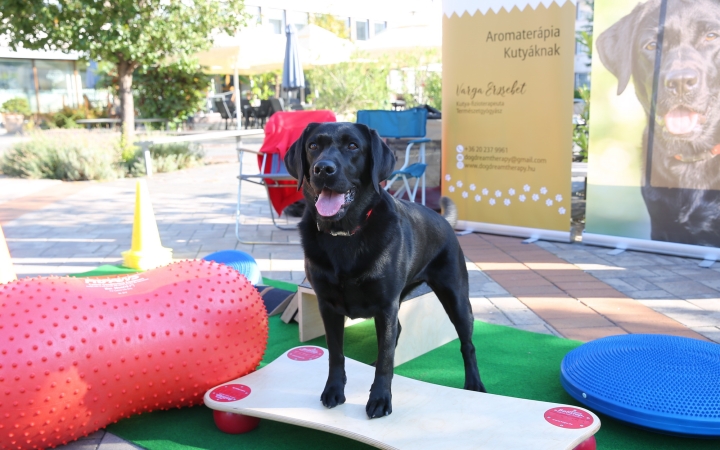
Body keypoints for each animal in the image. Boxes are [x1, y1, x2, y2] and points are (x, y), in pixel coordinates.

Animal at [284, 121, 486, 416]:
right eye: (313, 146)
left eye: (353, 146)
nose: (322, 168)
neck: (344, 235)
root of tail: (442, 219)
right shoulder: (328, 305)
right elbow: (336, 353)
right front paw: (334, 390)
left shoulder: (385, 306)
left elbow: (386, 359)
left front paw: (380, 398)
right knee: (396, 335)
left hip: (457, 298)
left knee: (467, 344)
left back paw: (474, 384)